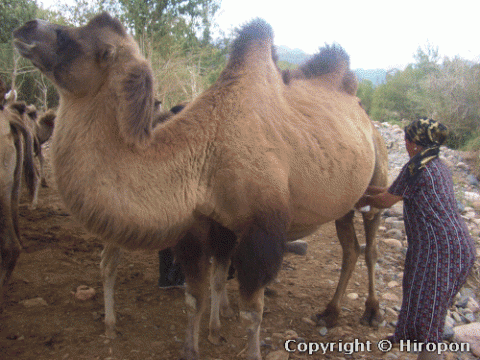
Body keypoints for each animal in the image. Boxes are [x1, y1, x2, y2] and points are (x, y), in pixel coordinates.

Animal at [14, 13, 390, 360]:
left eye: (73, 40)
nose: (26, 27)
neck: (206, 151)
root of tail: (363, 113)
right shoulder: (202, 224)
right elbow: (198, 294)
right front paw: (196, 344)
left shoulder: (262, 231)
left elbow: (252, 311)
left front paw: (247, 347)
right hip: (345, 200)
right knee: (350, 249)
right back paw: (330, 312)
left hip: (377, 181)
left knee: (370, 247)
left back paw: (371, 313)